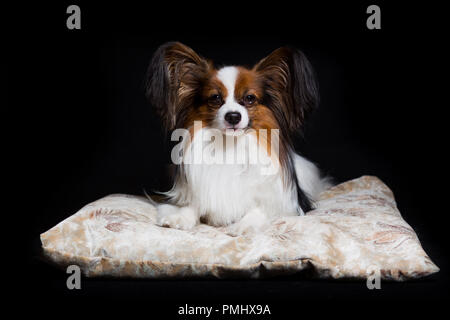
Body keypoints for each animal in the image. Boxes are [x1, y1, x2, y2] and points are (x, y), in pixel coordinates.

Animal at [145, 42, 330, 232]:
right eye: (215, 98)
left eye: (249, 98)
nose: (233, 116)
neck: (230, 145)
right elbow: (191, 205)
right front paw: (180, 217)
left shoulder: (282, 203)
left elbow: (259, 210)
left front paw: (245, 225)